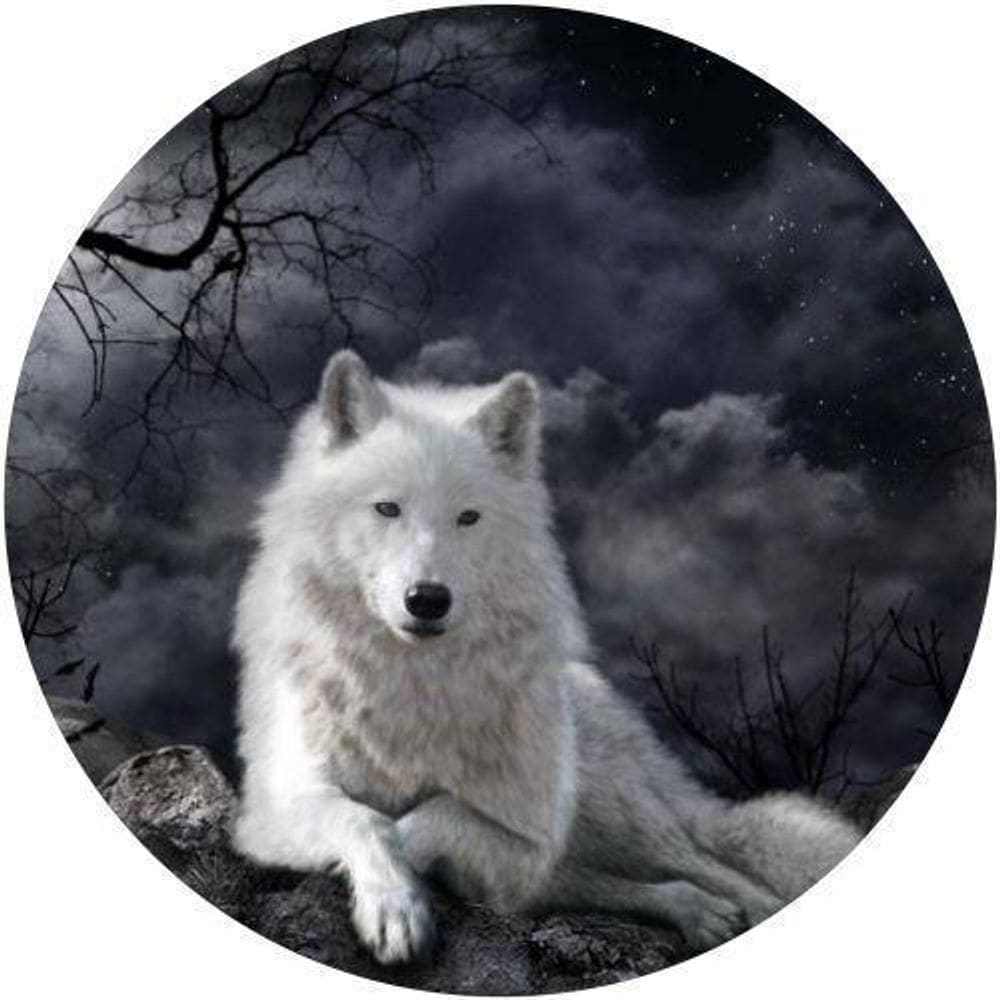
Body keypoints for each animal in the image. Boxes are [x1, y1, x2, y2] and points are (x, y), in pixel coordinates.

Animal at [231, 350, 862, 964]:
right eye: (387, 509)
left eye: (468, 517)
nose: (428, 600)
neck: (414, 684)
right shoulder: (276, 806)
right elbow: (364, 818)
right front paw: (395, 907)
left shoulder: (526, 832)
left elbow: (431, 818)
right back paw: (697, 912)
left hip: (618, 812)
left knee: (714, 865)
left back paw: (749, 909)